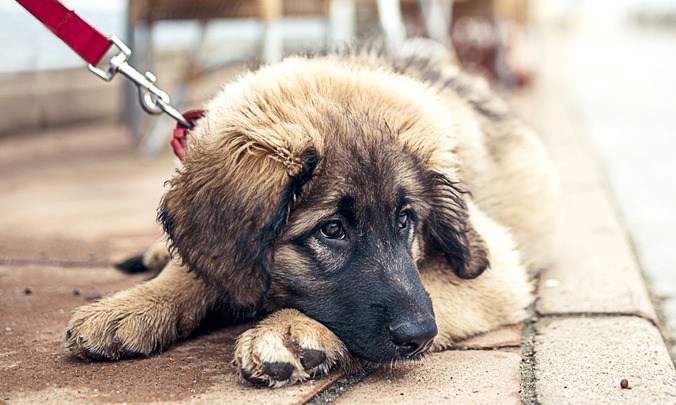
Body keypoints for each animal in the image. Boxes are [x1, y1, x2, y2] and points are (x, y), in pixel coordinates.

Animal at [64, 39, 560, 386]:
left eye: (405, 221)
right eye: (332, 229)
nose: (419, 334)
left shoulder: (497, 269)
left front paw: (291, 331)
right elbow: (200, 268)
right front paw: (133, 306)